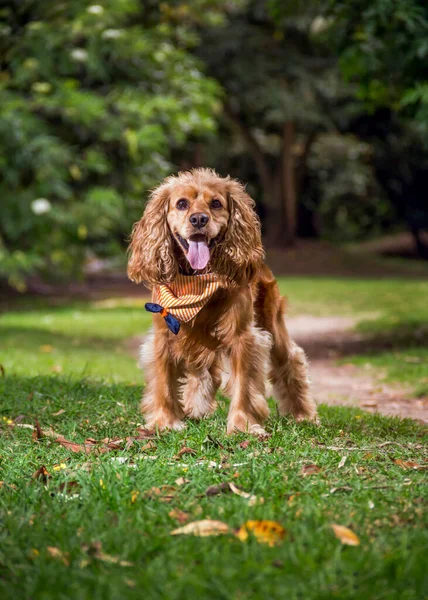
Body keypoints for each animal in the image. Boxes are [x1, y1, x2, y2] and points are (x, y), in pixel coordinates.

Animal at [127, 166, 318, 434]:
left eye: (216, 203)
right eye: (182, 203)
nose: (198, 219)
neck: (196, 281)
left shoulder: (243, 337)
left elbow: (244, 386)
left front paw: (242, 426)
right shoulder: (164, 335)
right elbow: (164, 382)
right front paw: (165, 422)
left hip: (272, 321)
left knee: (290, 359)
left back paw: (303, 414)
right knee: (206, 373)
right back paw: (197, 407)